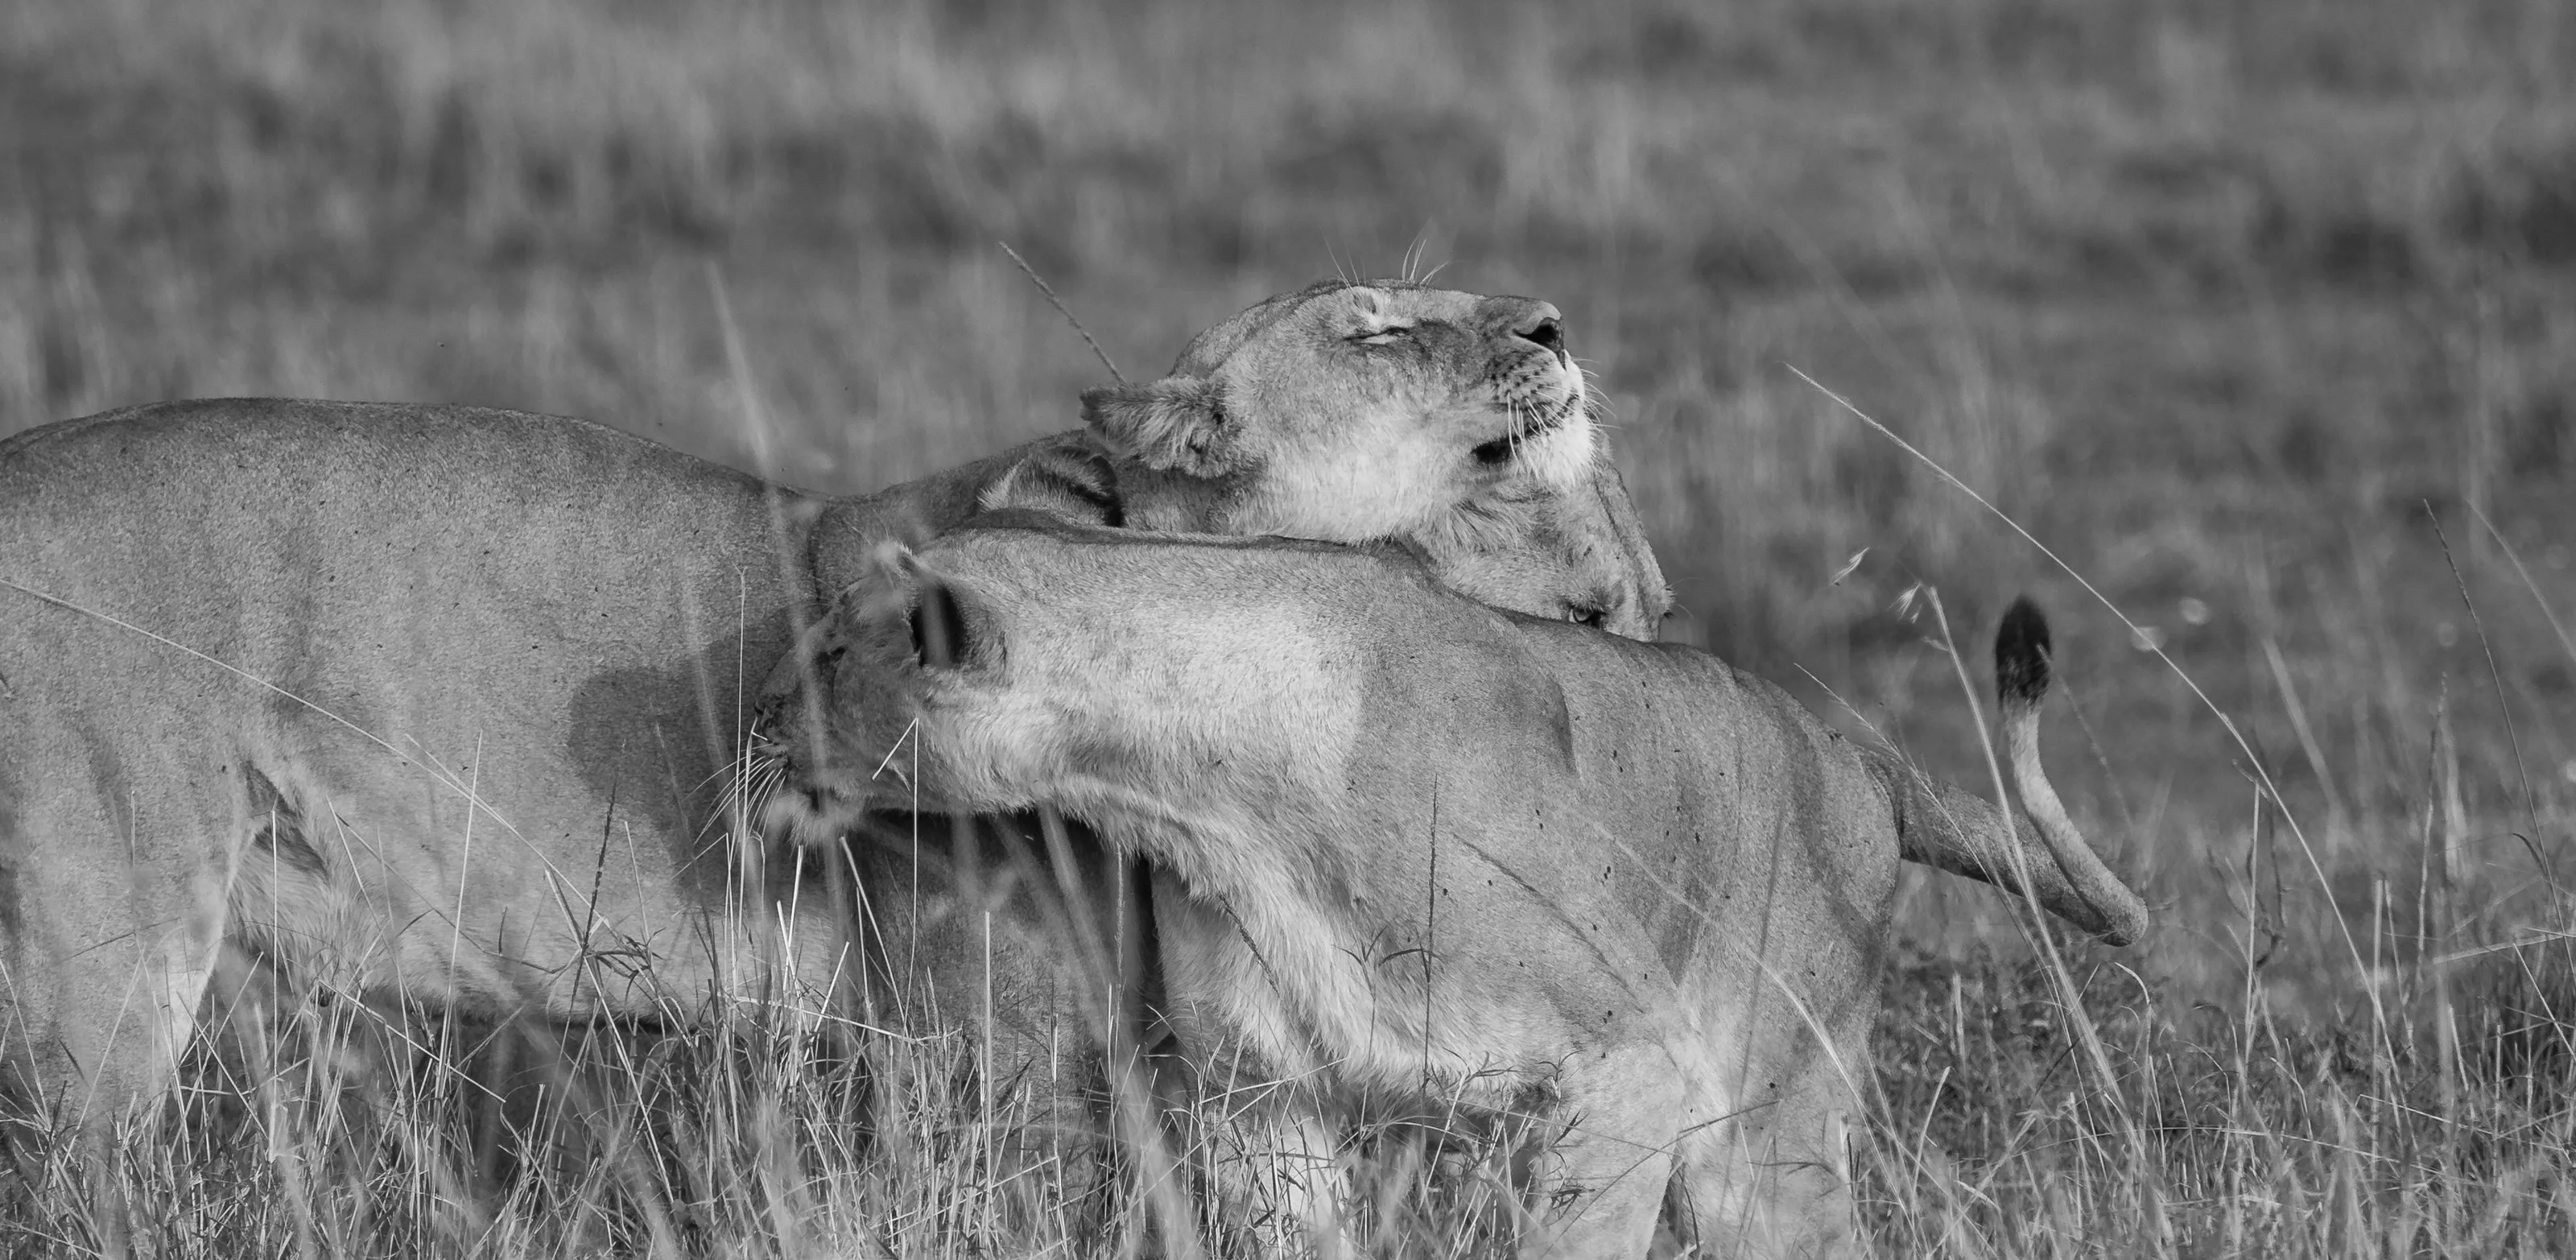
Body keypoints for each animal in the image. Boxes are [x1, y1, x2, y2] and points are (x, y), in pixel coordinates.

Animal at [749, 514, 2151, 1258]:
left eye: (829, 652)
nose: (754, 712)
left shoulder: (1630, 1058)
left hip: (1767, 1124)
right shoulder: (1267, 1089)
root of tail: (1856, 749)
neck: (1203, 784)